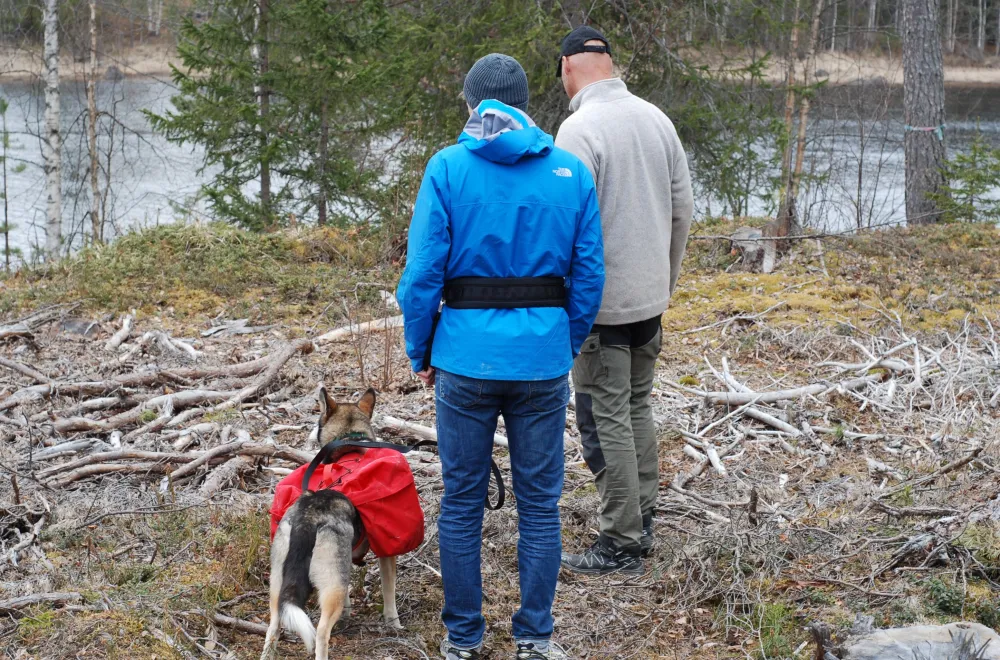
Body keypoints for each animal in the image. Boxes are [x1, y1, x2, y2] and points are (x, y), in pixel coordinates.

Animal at [262, 386, 402, 660]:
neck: (349, 440)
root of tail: (308, 518)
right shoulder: (386, 555)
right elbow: (389, 591)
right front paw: (394, 623)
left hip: (278, 584)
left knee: (273, 627)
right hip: (331, 587)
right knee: (320, 633)